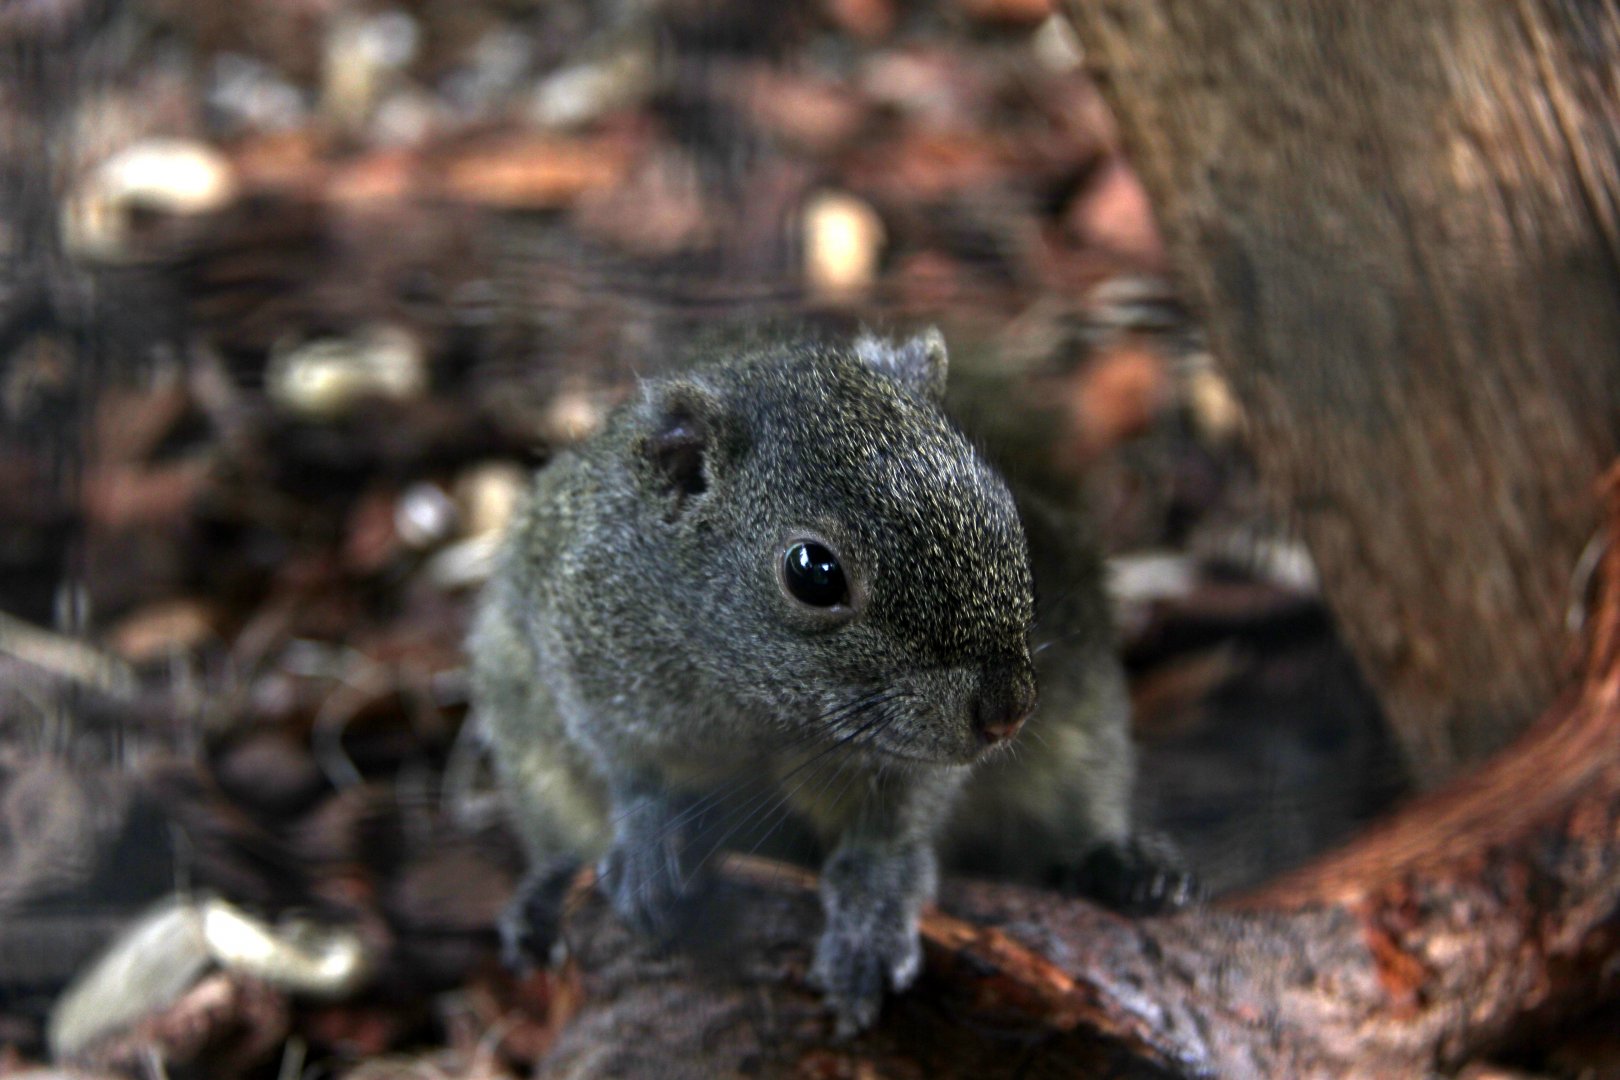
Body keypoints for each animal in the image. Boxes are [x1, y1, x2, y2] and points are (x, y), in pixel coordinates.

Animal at [469, 329, 1191, 1034]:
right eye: (813, 572)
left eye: (1005, 509)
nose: (1006, 712)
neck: (759, 708)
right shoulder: (584, 658)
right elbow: (628, 771)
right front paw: (649, 839)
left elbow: (896, 824)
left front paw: (871, 908)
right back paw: (544, 895)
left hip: (1080, 727)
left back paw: (1124, 869)